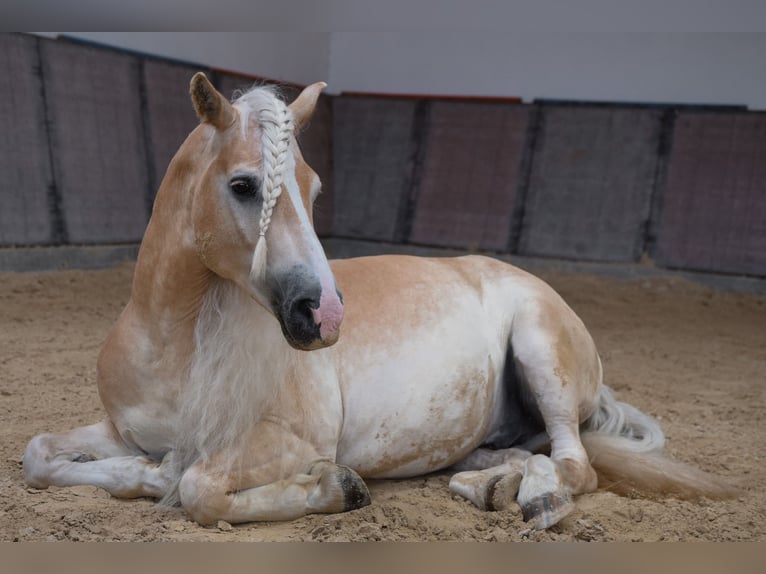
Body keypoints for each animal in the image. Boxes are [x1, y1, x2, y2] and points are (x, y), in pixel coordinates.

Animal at [21, 74, 736, 532]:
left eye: (313, 188)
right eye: (244, 185)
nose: (324, 314)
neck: (172, 347)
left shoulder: (291, 442)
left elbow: (198, 487)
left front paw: (333, 489)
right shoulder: (122, 429)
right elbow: (38, 454)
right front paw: (145, 474)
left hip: (541, 355)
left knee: (573, 465)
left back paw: (536, 502)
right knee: (518, 456)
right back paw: (489, 486)